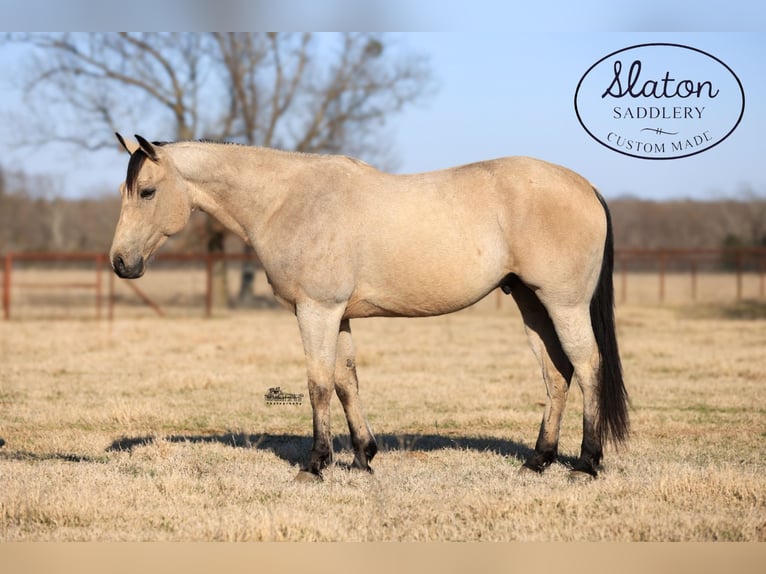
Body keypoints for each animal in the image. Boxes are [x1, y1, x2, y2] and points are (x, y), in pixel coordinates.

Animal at [111, 135, 632, 482]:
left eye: (147, 192)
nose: (120, 262)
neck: (287, 200)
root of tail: (584, 185)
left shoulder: (316, 310)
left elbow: (319, 384)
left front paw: (316, 465)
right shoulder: (338, 314)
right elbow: (347, 382)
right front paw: (364, 457)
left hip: (563, 303)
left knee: (587, 366)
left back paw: (586, 463)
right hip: (531, 302)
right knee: (556, 374)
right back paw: (538, 460)